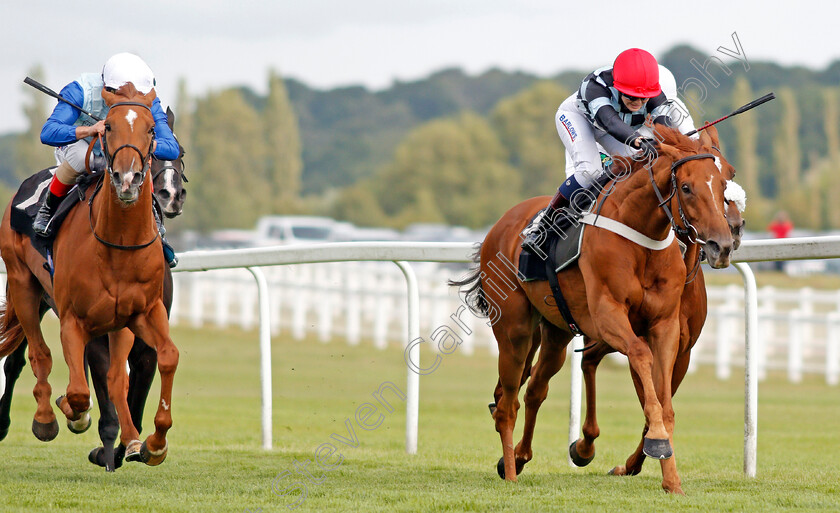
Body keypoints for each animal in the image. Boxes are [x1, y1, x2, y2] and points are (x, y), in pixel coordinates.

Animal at [0, 82, 177, 466]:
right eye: (107, 127)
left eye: (152, 131)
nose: (128, 180)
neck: (118, 243)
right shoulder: (74, 320)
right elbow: (79, 390)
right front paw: (73, 413)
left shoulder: (142, 313)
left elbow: (163, 358)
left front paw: (153, 443)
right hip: (23, 286)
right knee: (36, 355)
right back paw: (46, 418)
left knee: (115, 377)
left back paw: (130, 439)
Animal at [452, 127, 736, 492]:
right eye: (686, 187)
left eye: (725, 183)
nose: (722, 245)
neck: (642, 237)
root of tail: (501, 224)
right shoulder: (607, 316)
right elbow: (641, 360)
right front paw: (656, 444)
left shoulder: (667, 329)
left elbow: (662, 401)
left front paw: (671, 478)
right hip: (514, 332)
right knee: (507, 404)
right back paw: (513, 471)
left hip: (555, 332)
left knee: (536, 389)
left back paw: (521, 456)